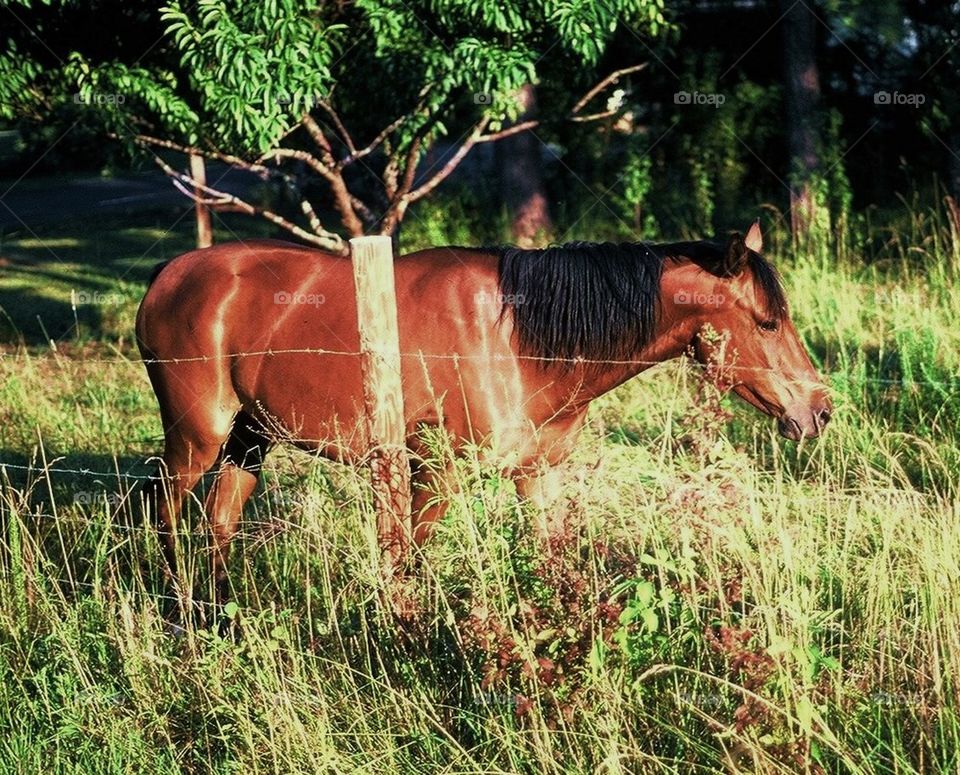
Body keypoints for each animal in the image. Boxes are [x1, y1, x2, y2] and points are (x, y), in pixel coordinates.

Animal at [137, 221, 832, 604]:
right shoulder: (433, 474)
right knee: (165, 515)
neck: (517, 339)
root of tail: (168, 273)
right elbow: (405, 565)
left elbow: (554, 562)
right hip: (198, 437)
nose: (820, 410)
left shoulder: (539, 475)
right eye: (767, 322)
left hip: (250, 438)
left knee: (218, 522)